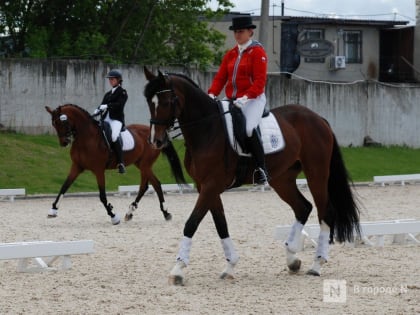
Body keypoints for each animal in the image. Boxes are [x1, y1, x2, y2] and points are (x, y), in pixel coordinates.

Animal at [44, 103, 185, 225]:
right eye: (54, 124)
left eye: (63, 121)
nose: (64, 142)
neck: (86, 138)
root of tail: (156, 135)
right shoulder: (76, 167)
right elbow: (64, 187)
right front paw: (53, 210)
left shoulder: (99, 170)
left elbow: (102, 196)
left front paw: (113, 216)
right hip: (141, 164)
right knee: (146, 186)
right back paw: (131, 212)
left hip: (145, 165)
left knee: (156, 184)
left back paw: (165, 212)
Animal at [144, 68, 360, 286]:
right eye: (149, 102)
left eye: (166, 102)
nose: (156, 141)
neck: (207, 129)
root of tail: (318, 118)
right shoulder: (205, 186)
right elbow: (221, 224)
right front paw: (230, 266)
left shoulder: (211, 185)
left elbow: (192, 223)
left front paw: (178, 269)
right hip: (282, 179)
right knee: (303, 207)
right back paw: (292, 258)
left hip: (316, 173)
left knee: (325, 213)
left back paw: (316, 264)